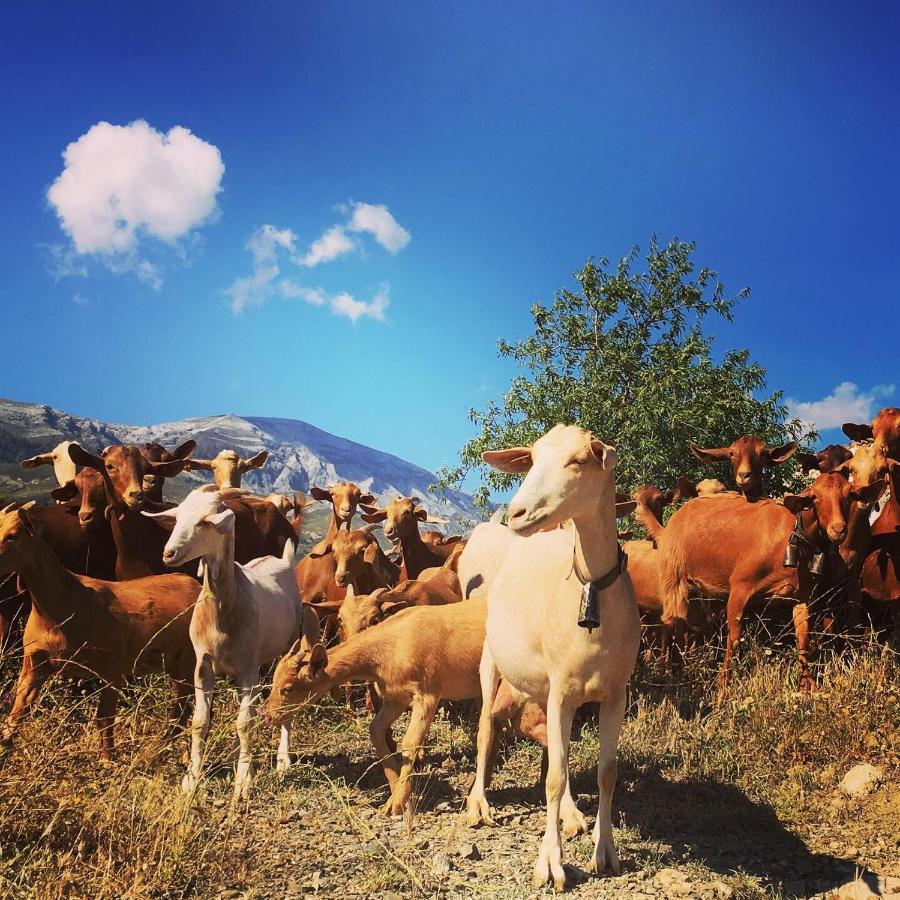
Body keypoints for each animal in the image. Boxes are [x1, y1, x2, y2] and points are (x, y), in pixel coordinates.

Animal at [145, 488, 302, 800]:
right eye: (177, 517)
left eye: (206, 521)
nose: (169, 553)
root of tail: (284, 561)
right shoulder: (202, 664)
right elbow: (200, 722)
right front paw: (192, 778)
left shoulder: (248, 669)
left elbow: (244, 722)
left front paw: (243, 780)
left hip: (289, 646)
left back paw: (282, 759)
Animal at [464, 426, 640, 888]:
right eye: (532, 457)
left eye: (579, 460)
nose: (518, 511)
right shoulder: (563, 688)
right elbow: (556, 776)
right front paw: (551, 863)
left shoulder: (614, 692)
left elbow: (604, 771)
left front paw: (605, 851)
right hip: (492, 658)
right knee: (486, 728)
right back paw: (479, 803)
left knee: (552, 749)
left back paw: (572, 814)